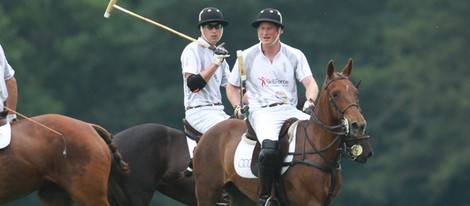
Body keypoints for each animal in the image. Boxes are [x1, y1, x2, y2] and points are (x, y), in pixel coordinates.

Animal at [193, 58, 372, 206]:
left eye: (356, 93)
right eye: (335, 94)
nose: (358, 125)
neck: (319, 151)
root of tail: (207, 134)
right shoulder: (310, 201)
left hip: (240, 195)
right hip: (207, 190)